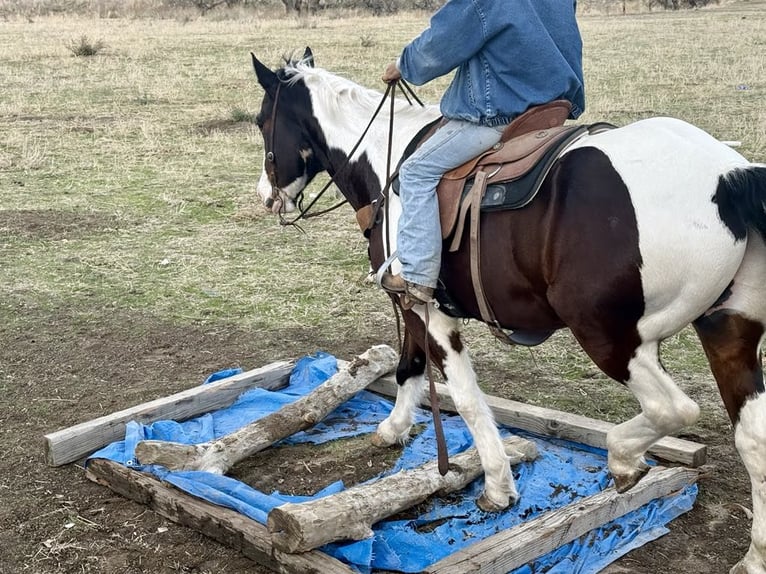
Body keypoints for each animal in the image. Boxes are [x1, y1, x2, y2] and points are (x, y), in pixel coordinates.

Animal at [250, 49, 766, 574]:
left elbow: (464, 396)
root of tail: (728, 177)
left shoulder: (430, 311)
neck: (388, 164)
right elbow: (409, 366)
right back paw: (753, 556)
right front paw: (394, 429)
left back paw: (623, 458)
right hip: (727, 332)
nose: (265, 196)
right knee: (754, 440)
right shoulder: (411, 300)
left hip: (611, 336)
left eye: (261, 121)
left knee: (673, 408)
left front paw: (498, 486)